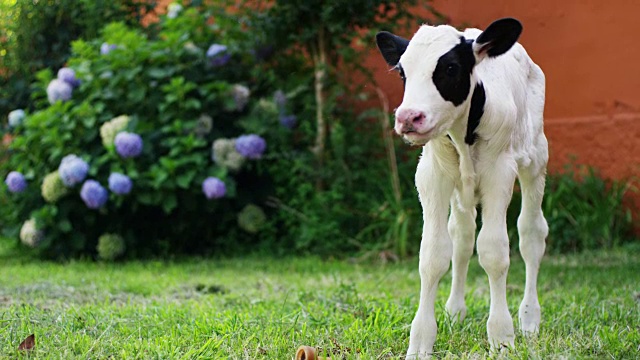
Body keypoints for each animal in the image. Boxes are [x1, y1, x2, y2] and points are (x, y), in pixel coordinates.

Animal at [376, 19, 552, 358]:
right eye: (403, 72)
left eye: (450, 67)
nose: (408, 117)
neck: (462, 133)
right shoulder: (432, 175)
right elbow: (433, 254)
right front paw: (421, 341)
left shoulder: (500, 173)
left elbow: (494, 252)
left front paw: (502, 336)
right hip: (461, 190)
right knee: (462, 236)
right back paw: (455, 311)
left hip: (536, 158)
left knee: (531, 234)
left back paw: (529, 319)